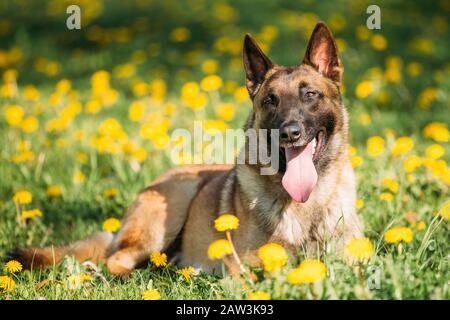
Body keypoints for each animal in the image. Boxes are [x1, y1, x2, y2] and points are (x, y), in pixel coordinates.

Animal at [11, 21, 362, 276]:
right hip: (174, 204)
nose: (290, 133)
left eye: (310, 94)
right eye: (270, 101)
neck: (306, 204)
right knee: (116, 261)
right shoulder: (240, 267)